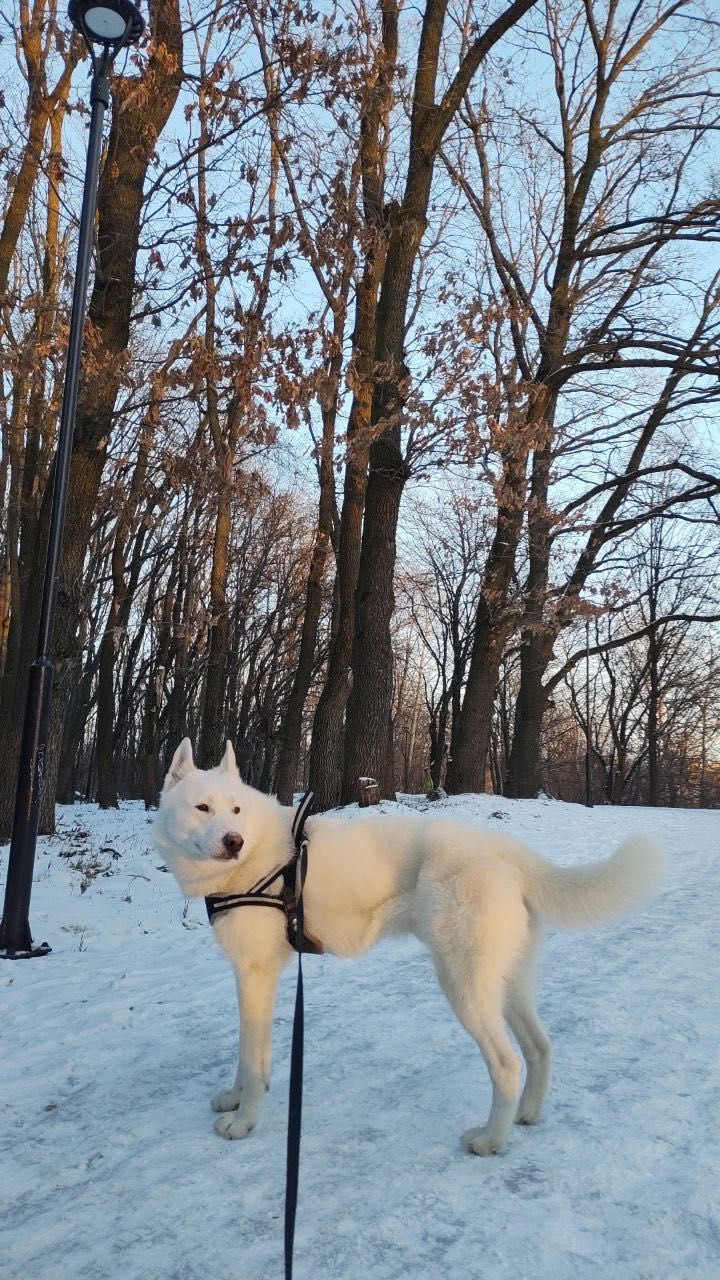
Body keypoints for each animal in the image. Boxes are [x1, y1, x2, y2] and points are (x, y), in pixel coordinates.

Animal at [154, 737, 666, 1157]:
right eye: (203, 807)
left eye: (236, 811)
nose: (234, 841)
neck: (260, 856)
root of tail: (509, 852)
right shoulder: (250, 978)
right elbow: (245, 1055)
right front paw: (235, 1098)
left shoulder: (256, 975)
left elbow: (252, 1058)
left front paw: (243, 1121)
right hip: (508, 985)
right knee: (539, 1048)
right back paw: (526, 1115)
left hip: (463, 986)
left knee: (507, 1064)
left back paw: (490, 1140)